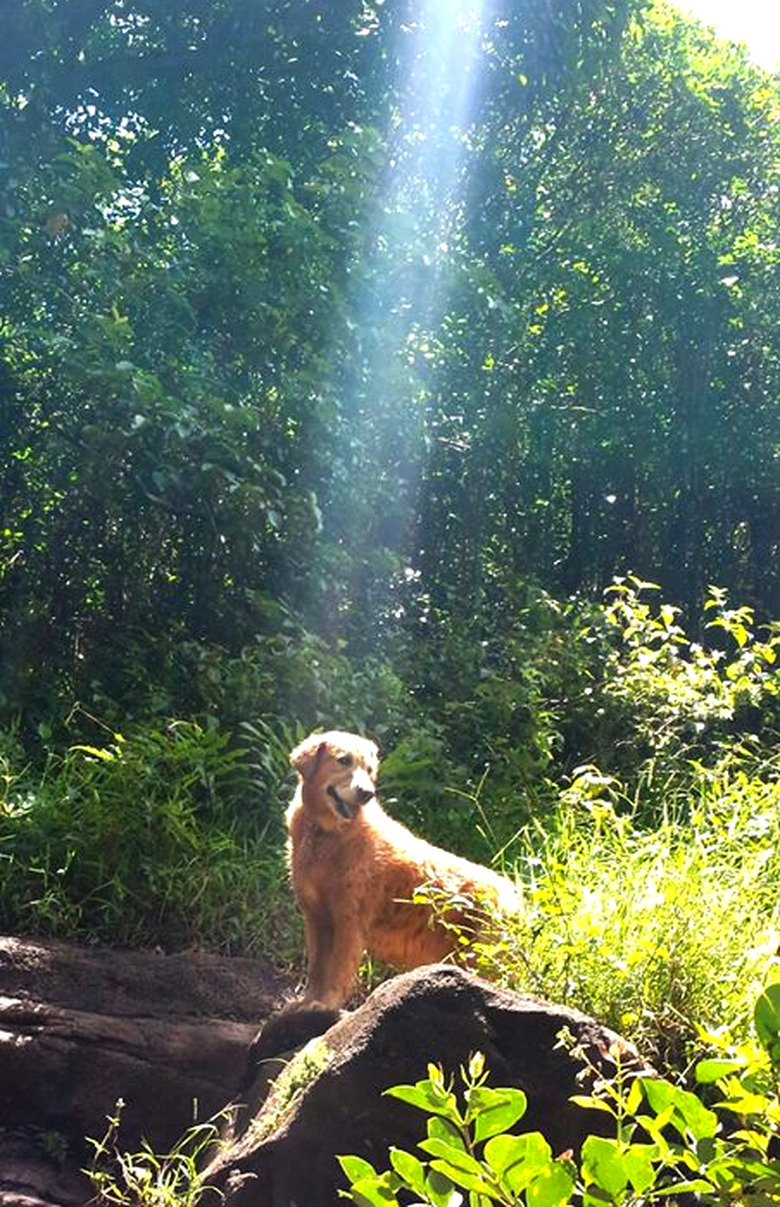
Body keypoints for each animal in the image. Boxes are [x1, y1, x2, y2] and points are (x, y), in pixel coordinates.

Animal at [287, 724, 519, 1009]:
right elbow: (317, 967)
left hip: (481, 954)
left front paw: (324, 1004)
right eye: (343, 760)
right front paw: (306, 1001)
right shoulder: (315, 915)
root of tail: (515, 897)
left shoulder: (349, 919)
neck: (327, 835)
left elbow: (337, 970)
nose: (366, 793)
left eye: (369, 769)